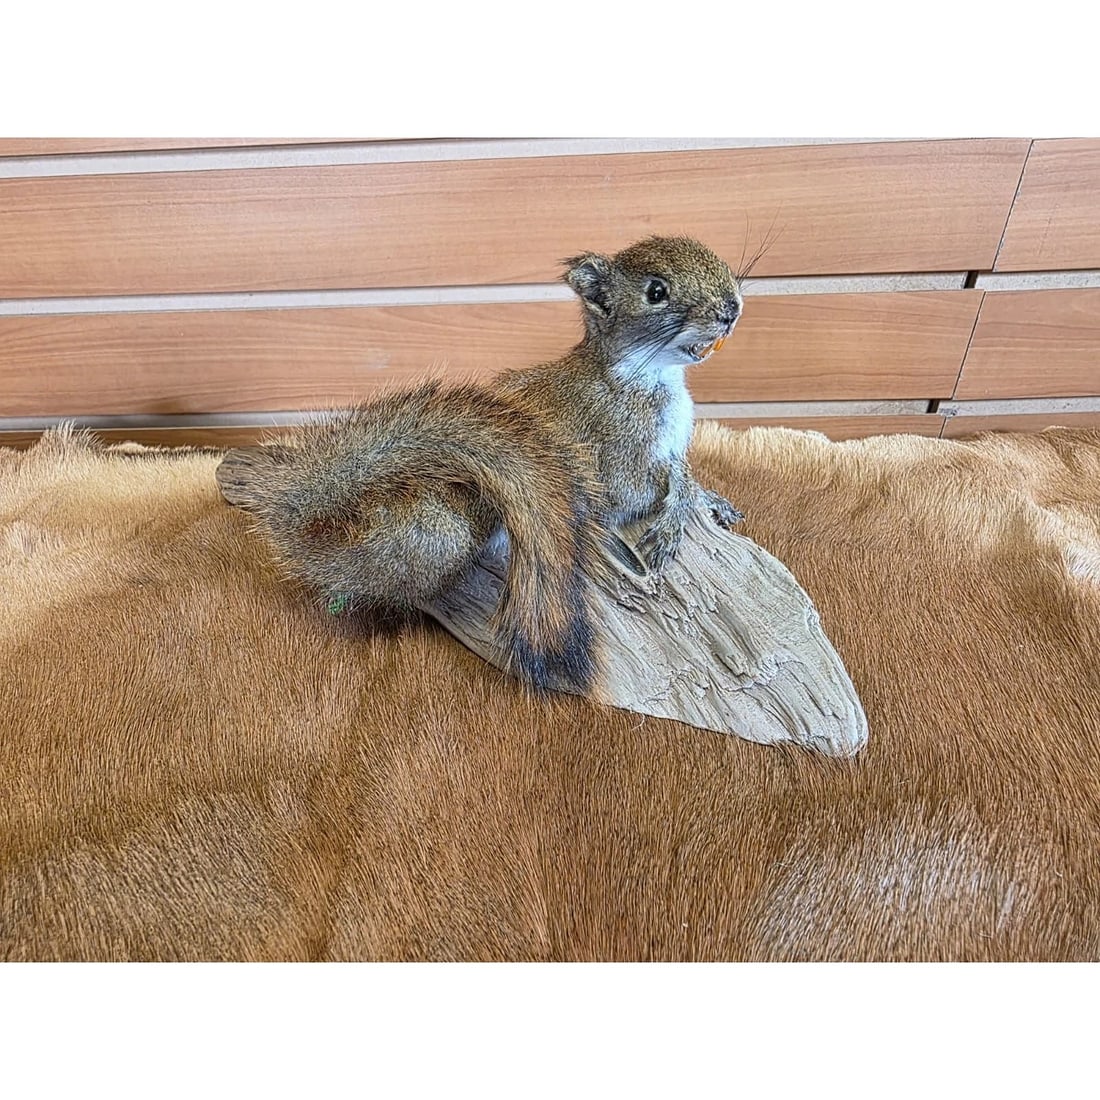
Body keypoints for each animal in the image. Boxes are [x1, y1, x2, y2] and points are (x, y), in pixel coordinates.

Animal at [215, 235, 744, 692]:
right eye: (656, 291)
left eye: (715, 256)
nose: (732, 308)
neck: (646, 374)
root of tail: (329, 524)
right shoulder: (616, 458)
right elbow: (649, 491)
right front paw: (677, 518)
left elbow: (683, 474)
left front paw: (711, 500)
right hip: (437, 535)